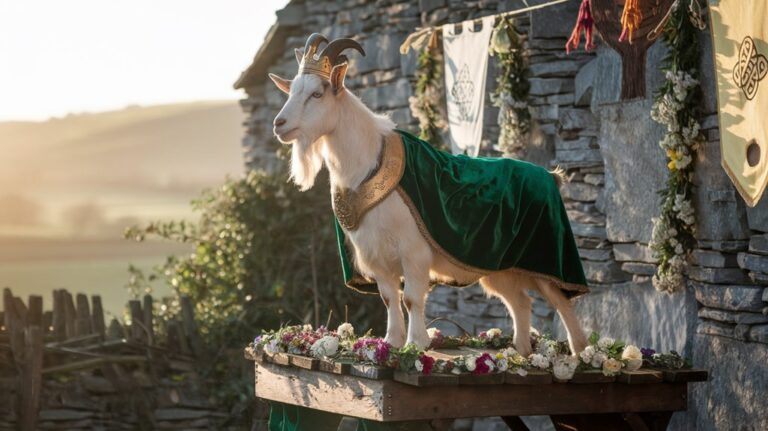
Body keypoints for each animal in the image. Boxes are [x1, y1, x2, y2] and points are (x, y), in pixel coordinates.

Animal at [270, 34, 588, 358]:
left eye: (317, 94)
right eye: (292, 91)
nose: (279, 124)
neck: (367, 164)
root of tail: (549, 176)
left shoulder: (413, 252)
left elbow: (410, 298)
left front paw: (415, 343)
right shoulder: (377, 257)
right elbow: (389, 298)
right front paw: (391, 343)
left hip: (547, 260)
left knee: (562, 302)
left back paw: (580, 354)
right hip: (502, 269)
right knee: (520, 303)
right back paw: (520, 353)